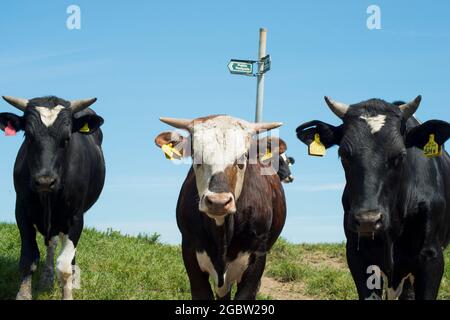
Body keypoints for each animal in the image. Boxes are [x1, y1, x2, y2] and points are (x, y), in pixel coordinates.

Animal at [0, 95, 105, 300]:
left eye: (66, 139)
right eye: (28, 136)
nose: (45, 181)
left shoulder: (75, 218)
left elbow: (64, 265)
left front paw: (68, 291)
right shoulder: (22, 211)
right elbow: (28, 259)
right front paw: (24, 294)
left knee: (67, 254)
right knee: (52, 244)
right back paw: (47, 278)